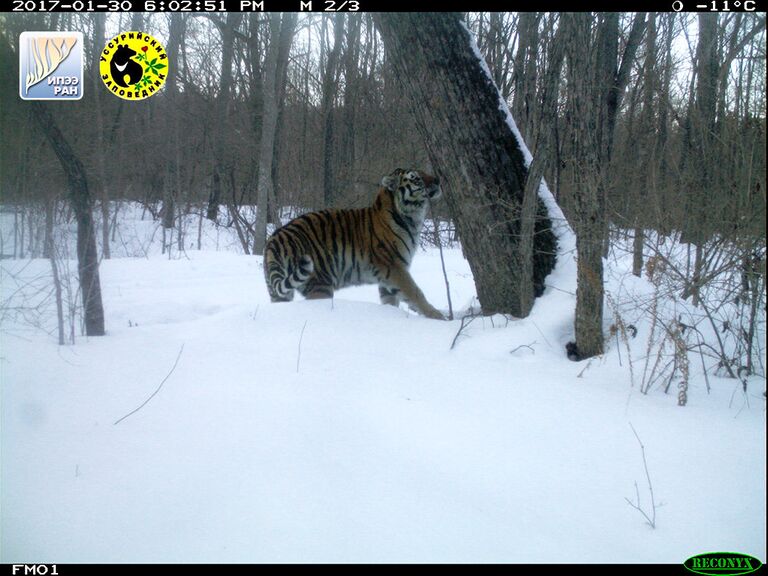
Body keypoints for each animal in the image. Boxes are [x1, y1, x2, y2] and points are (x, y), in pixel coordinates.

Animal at [262, 168, 444, 320]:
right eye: (417, 178)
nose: (437, 179)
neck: (411, 218)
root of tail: (275, 240)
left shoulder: (387, 277)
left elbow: (390, 300)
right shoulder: (394, 267)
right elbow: (415, 292)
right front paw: (437, 316)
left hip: (279, 292)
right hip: (320, 284)